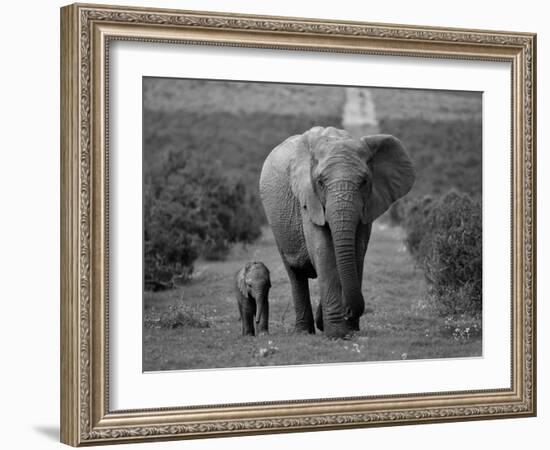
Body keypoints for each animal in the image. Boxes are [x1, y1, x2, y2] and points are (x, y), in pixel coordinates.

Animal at [260, 126, 416, 338]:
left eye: (364, 181)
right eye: (320, 182)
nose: (348, 311)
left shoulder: (368, 206)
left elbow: (357, 252)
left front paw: (348, 329)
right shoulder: (308, 200)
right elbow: (324, 251)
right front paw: (336, 334)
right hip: (277, 225)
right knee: (295, 274)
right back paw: (303, 332)